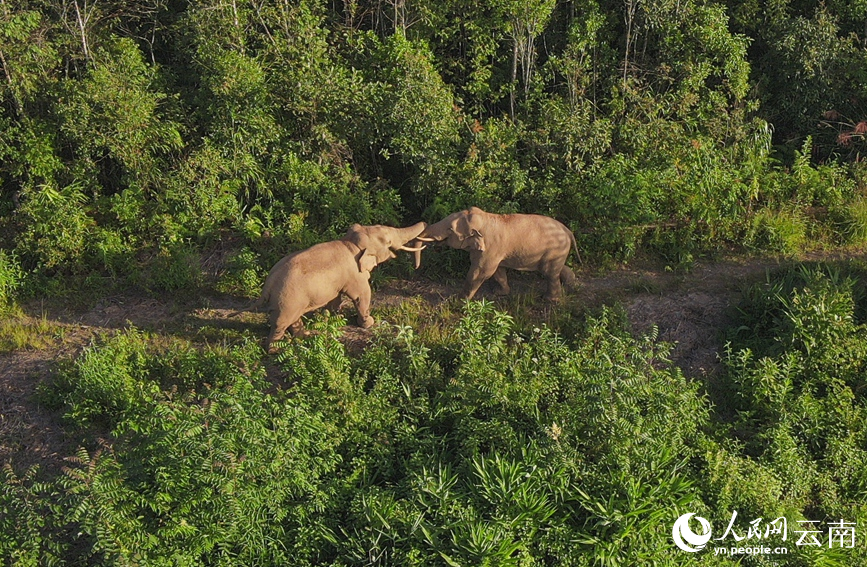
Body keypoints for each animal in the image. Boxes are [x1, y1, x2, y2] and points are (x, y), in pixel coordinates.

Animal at [253, 222, 426, 353]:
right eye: (388, 242)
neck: (350, 243)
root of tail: (269, 283)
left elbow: (335, 297)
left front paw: (334, 317)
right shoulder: (355, 274)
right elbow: (362, 294)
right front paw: (368, 323)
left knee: (292, 319)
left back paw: (305, 335)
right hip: (287, 301)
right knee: (280, 324)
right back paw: (276, 350)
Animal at [414, 207, 580, 301]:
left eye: (450, 229)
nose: (417, 267)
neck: (486, 218)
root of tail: (568, 231)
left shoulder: (490, 247)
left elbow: (480, 272)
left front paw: (459, 300)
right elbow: (498, 271)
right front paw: (500, 293)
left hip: (554, 250)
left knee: (549, 273)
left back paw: (550, 300)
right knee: (556, 269)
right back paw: (571, 285)